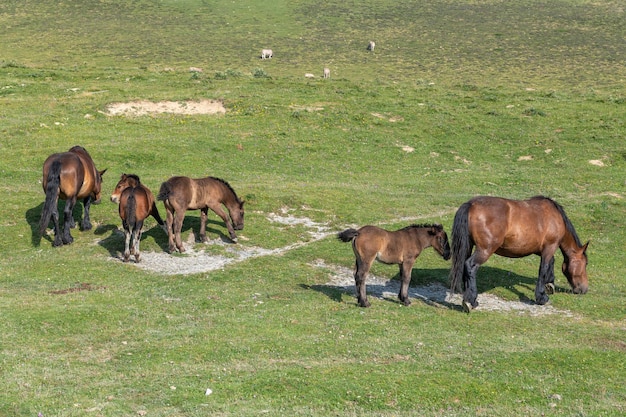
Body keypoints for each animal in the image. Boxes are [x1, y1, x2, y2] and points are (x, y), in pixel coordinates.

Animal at [446, 197, 588, 310]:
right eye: (585, 263)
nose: (584, 289)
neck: (555, 217)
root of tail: (471, 204)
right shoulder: (549, 247)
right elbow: (544, 268)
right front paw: (541, 297)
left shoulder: (538, 249)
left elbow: (551, 262)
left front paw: (549, 284)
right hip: (484, 250)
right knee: (470, 266)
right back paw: (470, 301)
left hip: (469, 246)